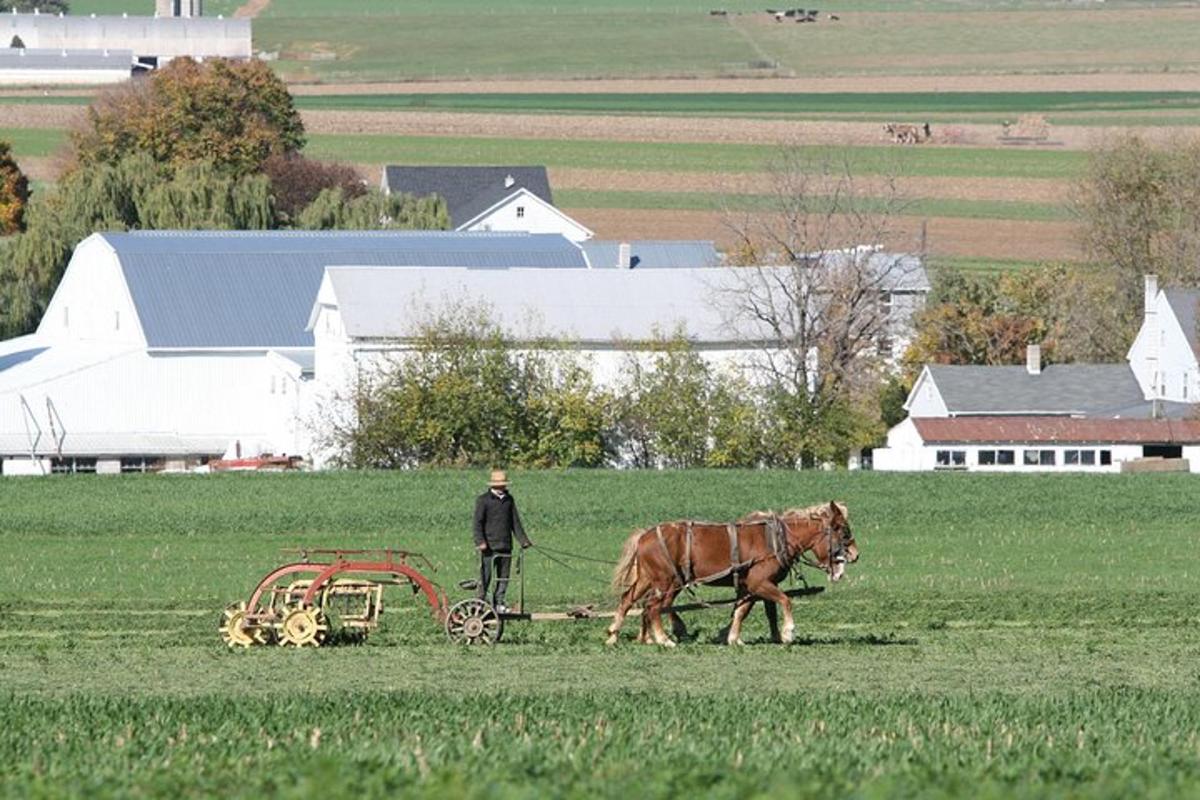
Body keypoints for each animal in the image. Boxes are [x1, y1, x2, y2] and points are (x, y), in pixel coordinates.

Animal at [604, 503, 859, 647]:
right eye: (844, 531)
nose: (855, 554)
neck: (777, 539)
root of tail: (643, 536)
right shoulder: (759, 583)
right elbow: (785, 601)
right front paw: (788, 633)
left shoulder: (749, 587)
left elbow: (742, 612)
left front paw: (734, 638)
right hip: (669, 582)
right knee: (654, 607)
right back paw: (663, 639)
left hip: (648, 579)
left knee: (628, 601)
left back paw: (615, 636)